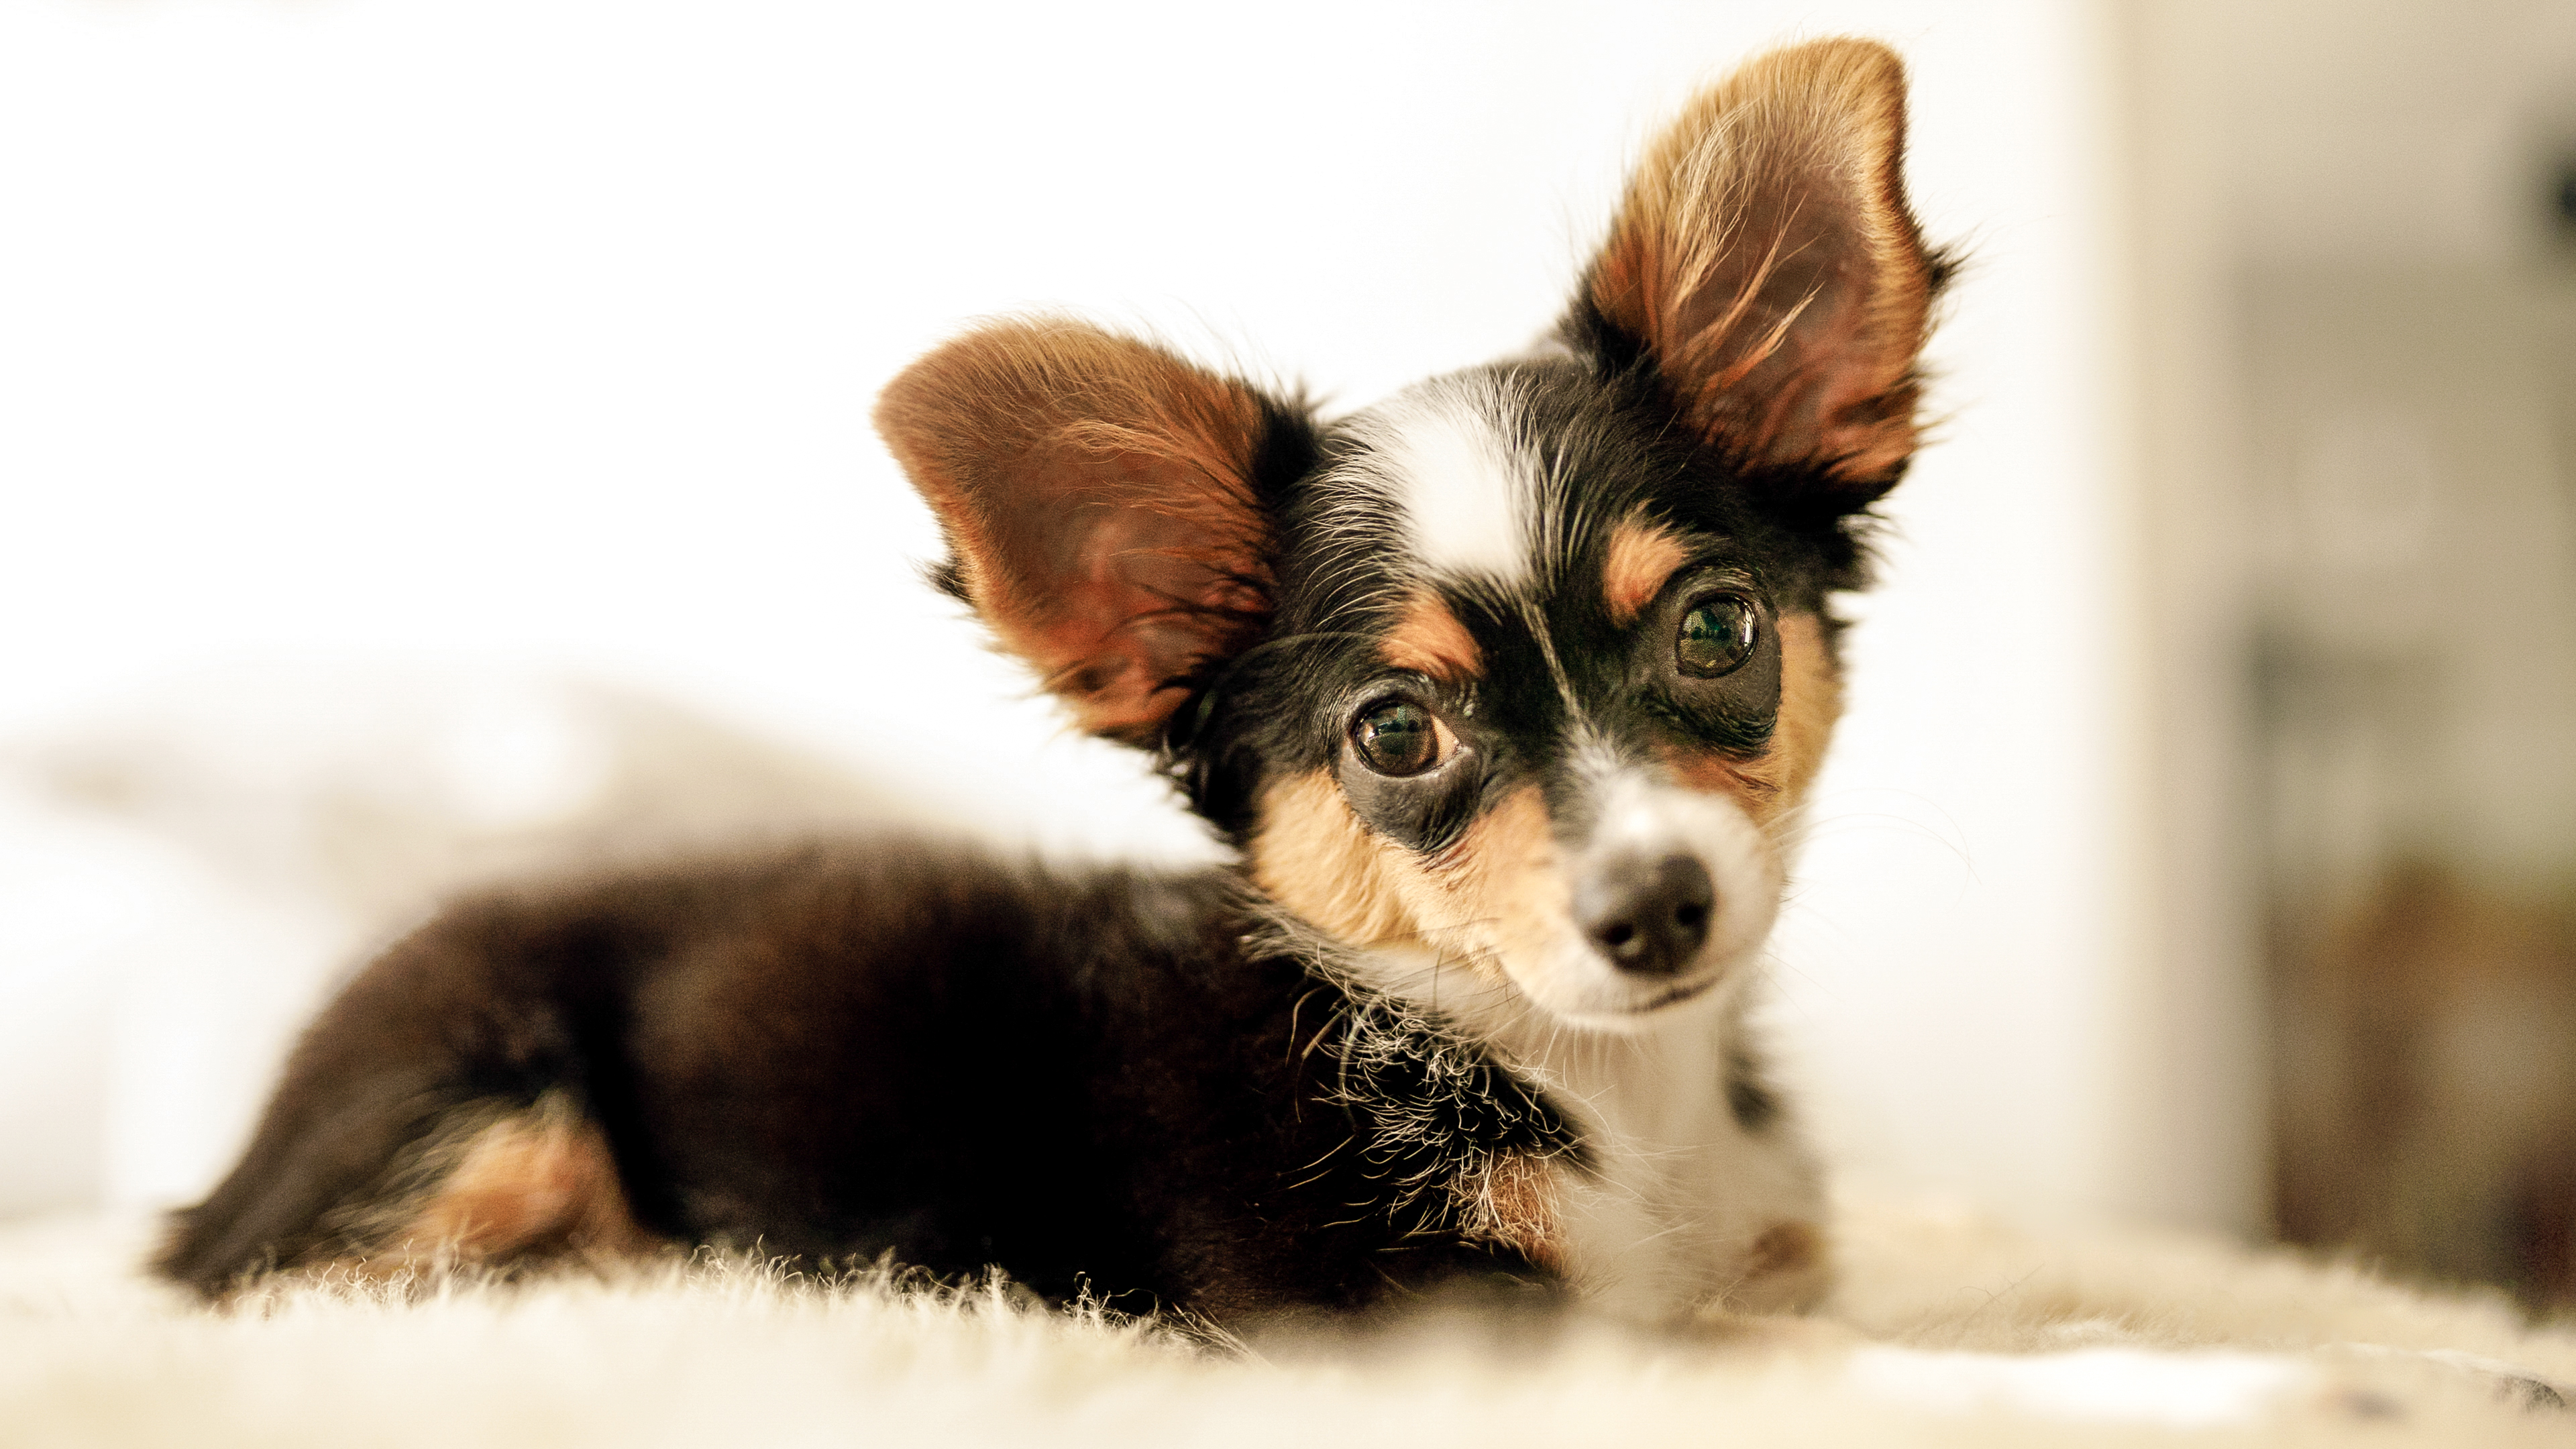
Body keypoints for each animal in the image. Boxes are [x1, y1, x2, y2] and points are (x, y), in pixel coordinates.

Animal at [146, 36, 1947, 1330]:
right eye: (1394, 732)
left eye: (1717, 632)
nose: (1657, 908)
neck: (1598, 1078)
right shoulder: (1404, 1317)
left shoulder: (1759, 1268)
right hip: (480, 1117)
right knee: (286, 1286)